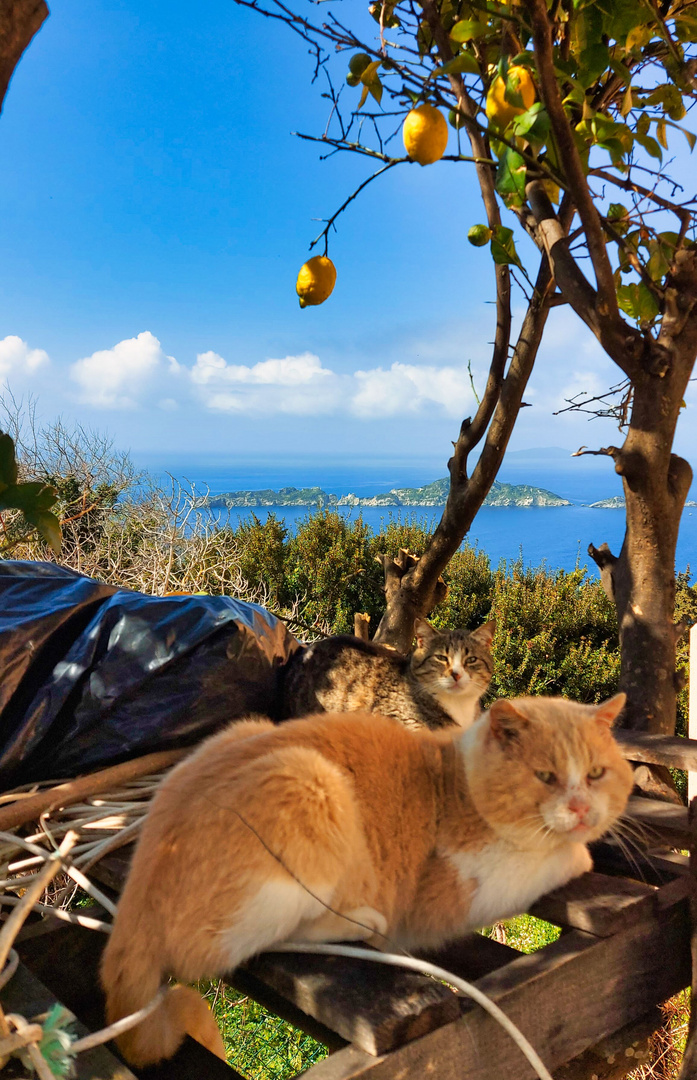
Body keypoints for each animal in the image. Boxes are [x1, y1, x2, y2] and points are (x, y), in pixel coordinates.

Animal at [100, 691, 635, 1062]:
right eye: (546, 777)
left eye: (596, 774)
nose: (581, 808)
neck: (458, 779)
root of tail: (131, 913)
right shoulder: (458, 892)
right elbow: (557, 858)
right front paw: (578, 854)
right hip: (310, 784)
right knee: (241, 945)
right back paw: (359, 923)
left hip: (246, 730)